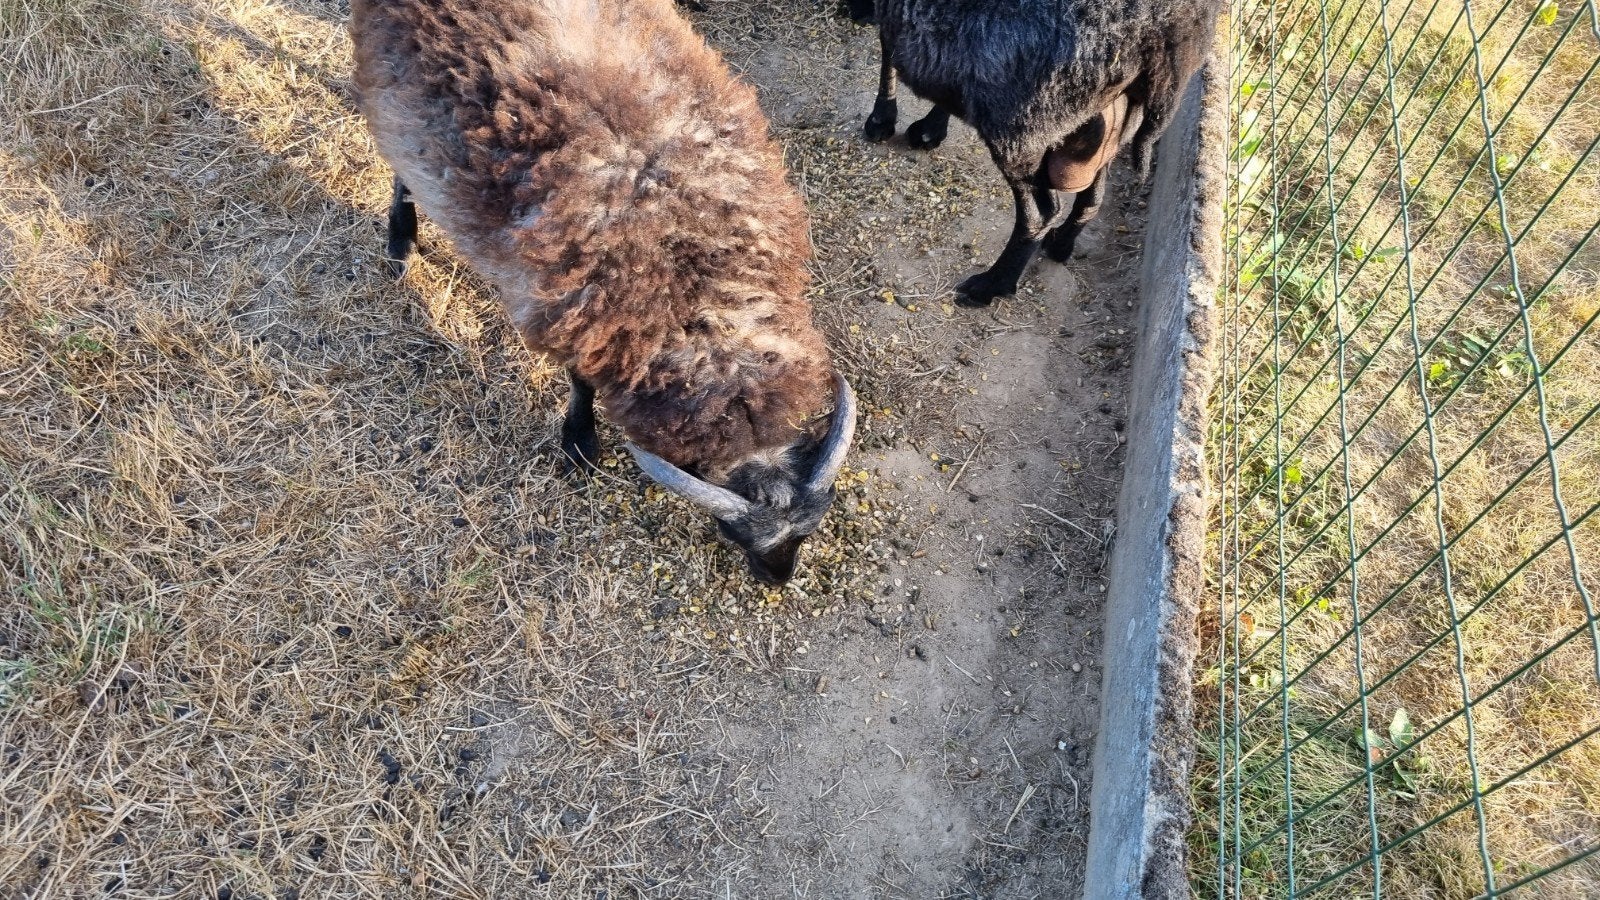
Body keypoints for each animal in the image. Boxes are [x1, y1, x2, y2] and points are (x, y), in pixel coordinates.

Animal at [350, 0, 858, 584]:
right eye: (732, 532)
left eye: (809, 529)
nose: (778, 577)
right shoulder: (571, 304)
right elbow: (580, 381)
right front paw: (579, 444)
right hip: (394, 102)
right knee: (400, 167)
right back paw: (401, 246)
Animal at [858, 0, 1219, 306]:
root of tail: (1169, 34)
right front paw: (929, 128)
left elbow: (888, 47)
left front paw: (882, 120)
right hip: (1109, 118)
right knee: (1093, 193)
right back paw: (1060, 246)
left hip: (1020, 122)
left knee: (1041, 212)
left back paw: (989, 287)